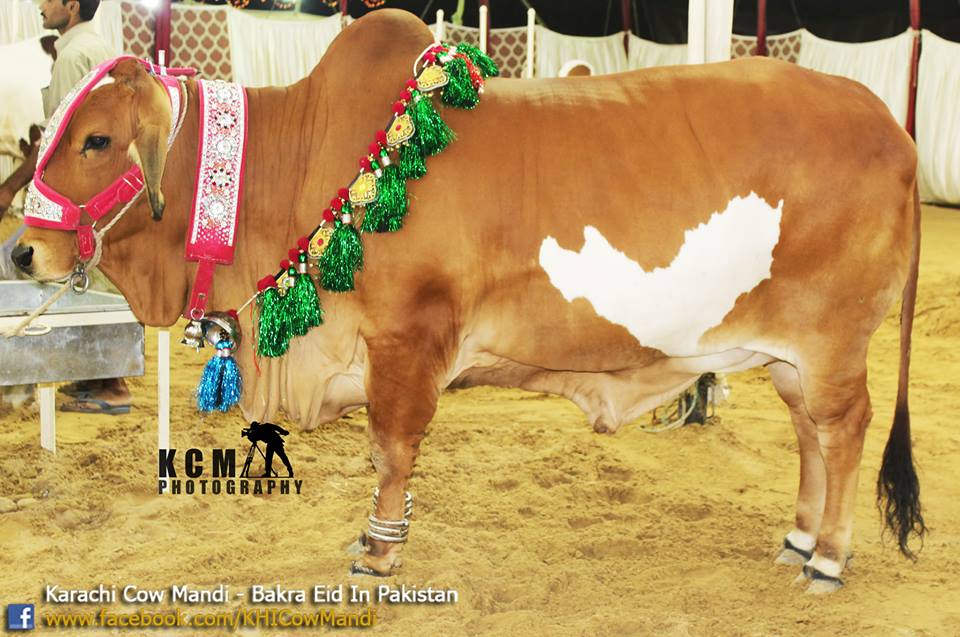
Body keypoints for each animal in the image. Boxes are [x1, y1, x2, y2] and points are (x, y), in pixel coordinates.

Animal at [10, 10, 924, 591]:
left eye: (97, 139)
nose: (23, 248)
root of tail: (891, 126)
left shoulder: (405, 341)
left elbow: (391, 449)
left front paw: (379, 550)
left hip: (834, 341)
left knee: (844, 429)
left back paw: (829, 556)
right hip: (791, 353)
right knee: (809, 431)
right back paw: (799, 536)